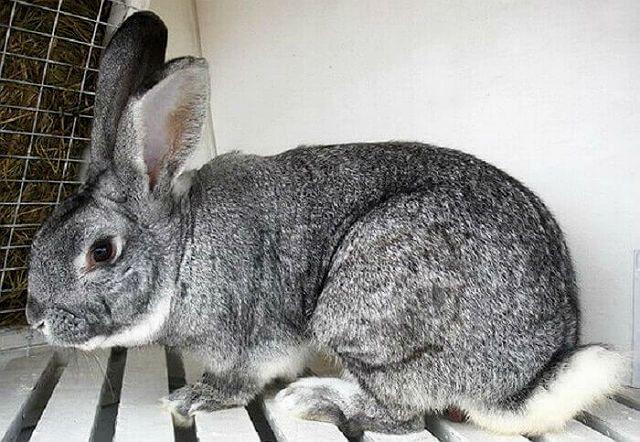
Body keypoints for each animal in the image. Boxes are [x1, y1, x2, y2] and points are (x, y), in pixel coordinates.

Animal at [26, 11, 626, 437]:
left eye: (102, 251)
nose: (35, 318)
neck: (185, 250)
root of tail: (521, 382)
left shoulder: (248, 338)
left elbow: (238, 379)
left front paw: (192, 399)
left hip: (360, 302)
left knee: (402, 414)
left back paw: (312, 399)